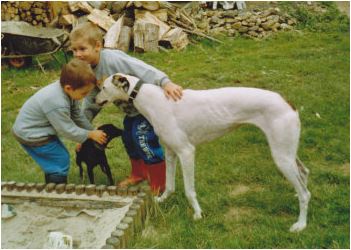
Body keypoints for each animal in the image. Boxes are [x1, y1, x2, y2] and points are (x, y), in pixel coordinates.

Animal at [95, 73, 310, 232]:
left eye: (103, 88)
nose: (95, 100)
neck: (153, 99)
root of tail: (287, 102)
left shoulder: (186, 152)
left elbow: (189, 191)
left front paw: (197, 214)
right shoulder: (171, 152)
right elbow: (170, 184)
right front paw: (162, 200)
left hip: (281, 157)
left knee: (305, 194)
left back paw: (300, 224)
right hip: (287, 152)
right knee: (304, 173)